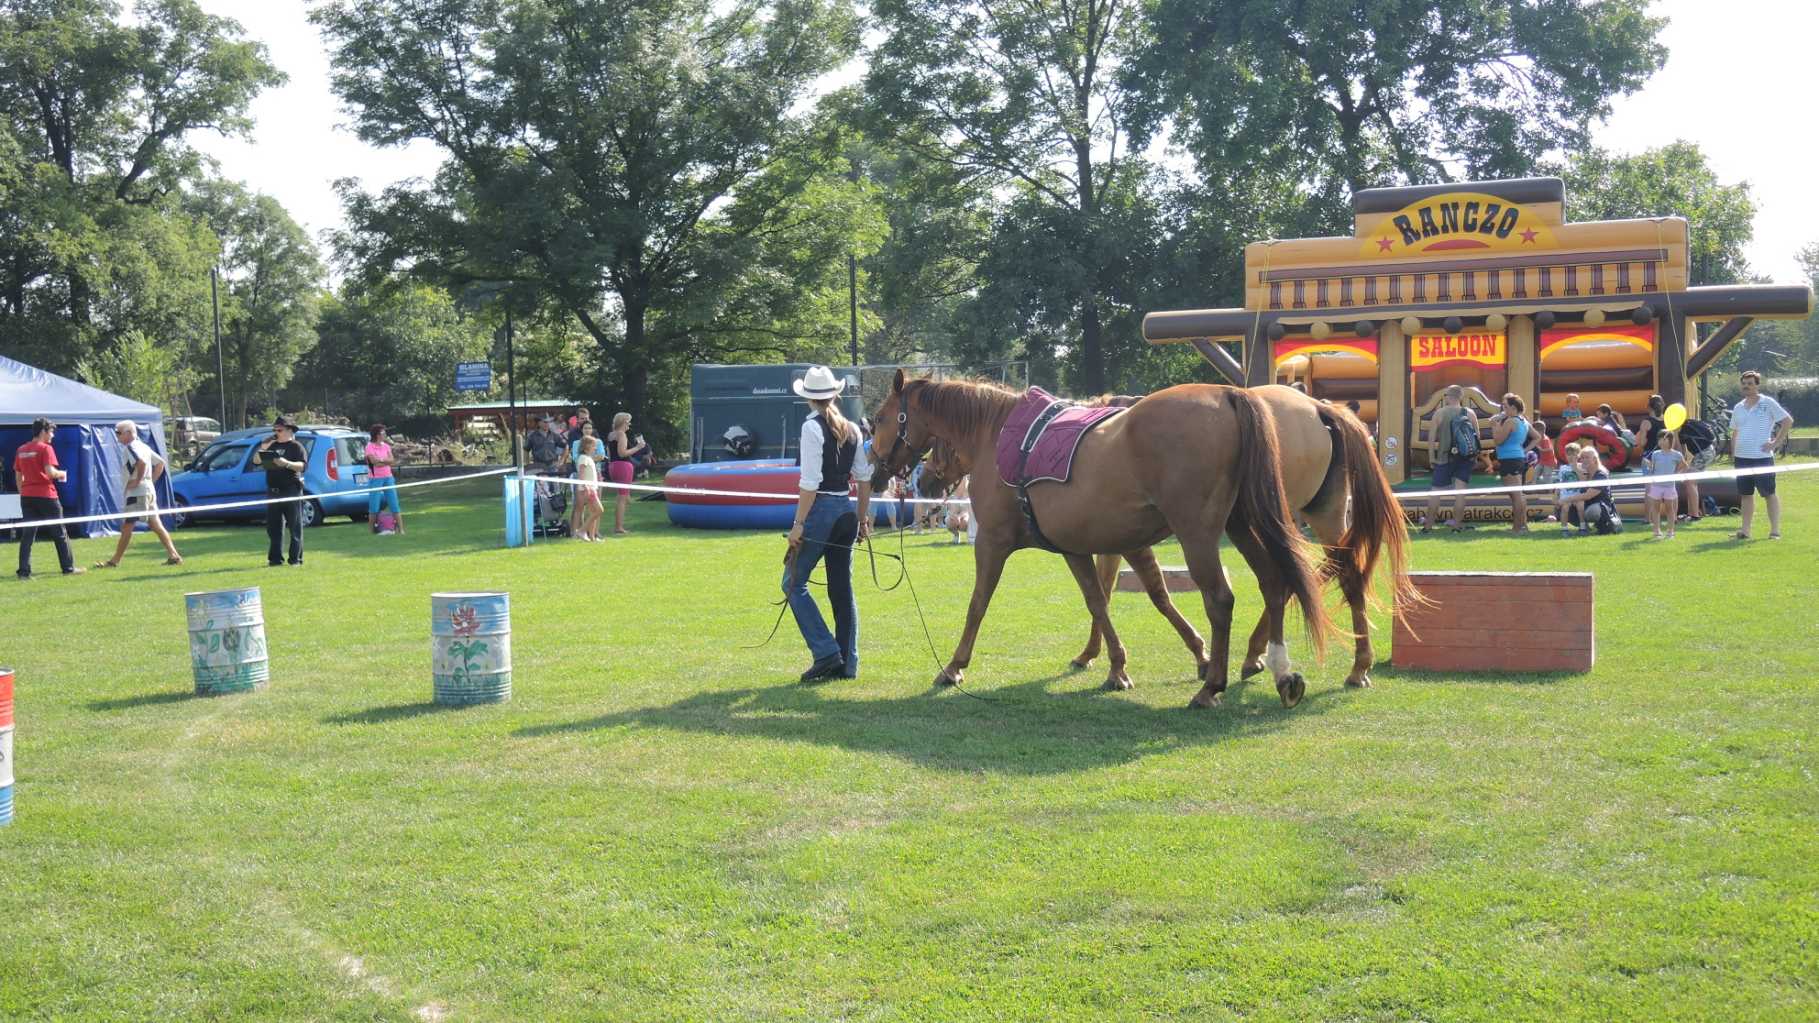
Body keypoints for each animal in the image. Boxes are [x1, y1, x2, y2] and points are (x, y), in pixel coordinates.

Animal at [865, 367, 1338, 709]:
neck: (995, 436)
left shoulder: (993, 544)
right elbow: (1099, 601)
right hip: (1242, 525)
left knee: (1221, 599)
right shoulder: (1074, 547)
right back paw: (1280, 672)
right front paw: (1117, 666)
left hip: (1198, 533)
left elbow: (978, 604)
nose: (882, 474)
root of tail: (1228, 395)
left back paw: (1214, 687)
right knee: (1274, 582)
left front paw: (954, 666)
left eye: (880, 419)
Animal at [1062, 385, 1418, 688]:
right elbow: (1117, 591)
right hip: (1324, 513)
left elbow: (1123, 594)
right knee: (1338, 573)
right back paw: (1354, 666)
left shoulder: (1121, 541)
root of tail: (1319, 408)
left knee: (1297, 575)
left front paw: (1099, 657)